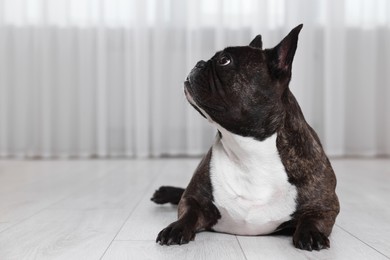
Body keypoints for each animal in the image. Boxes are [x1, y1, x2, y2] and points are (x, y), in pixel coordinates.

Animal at [151, 25, 340, 251]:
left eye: (225, 60)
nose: (199, 62)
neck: (248, 148)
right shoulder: (193, 198)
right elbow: (188, 212)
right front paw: (176, 228)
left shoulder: (325, 206)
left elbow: (313, 218)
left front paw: (310, 234)